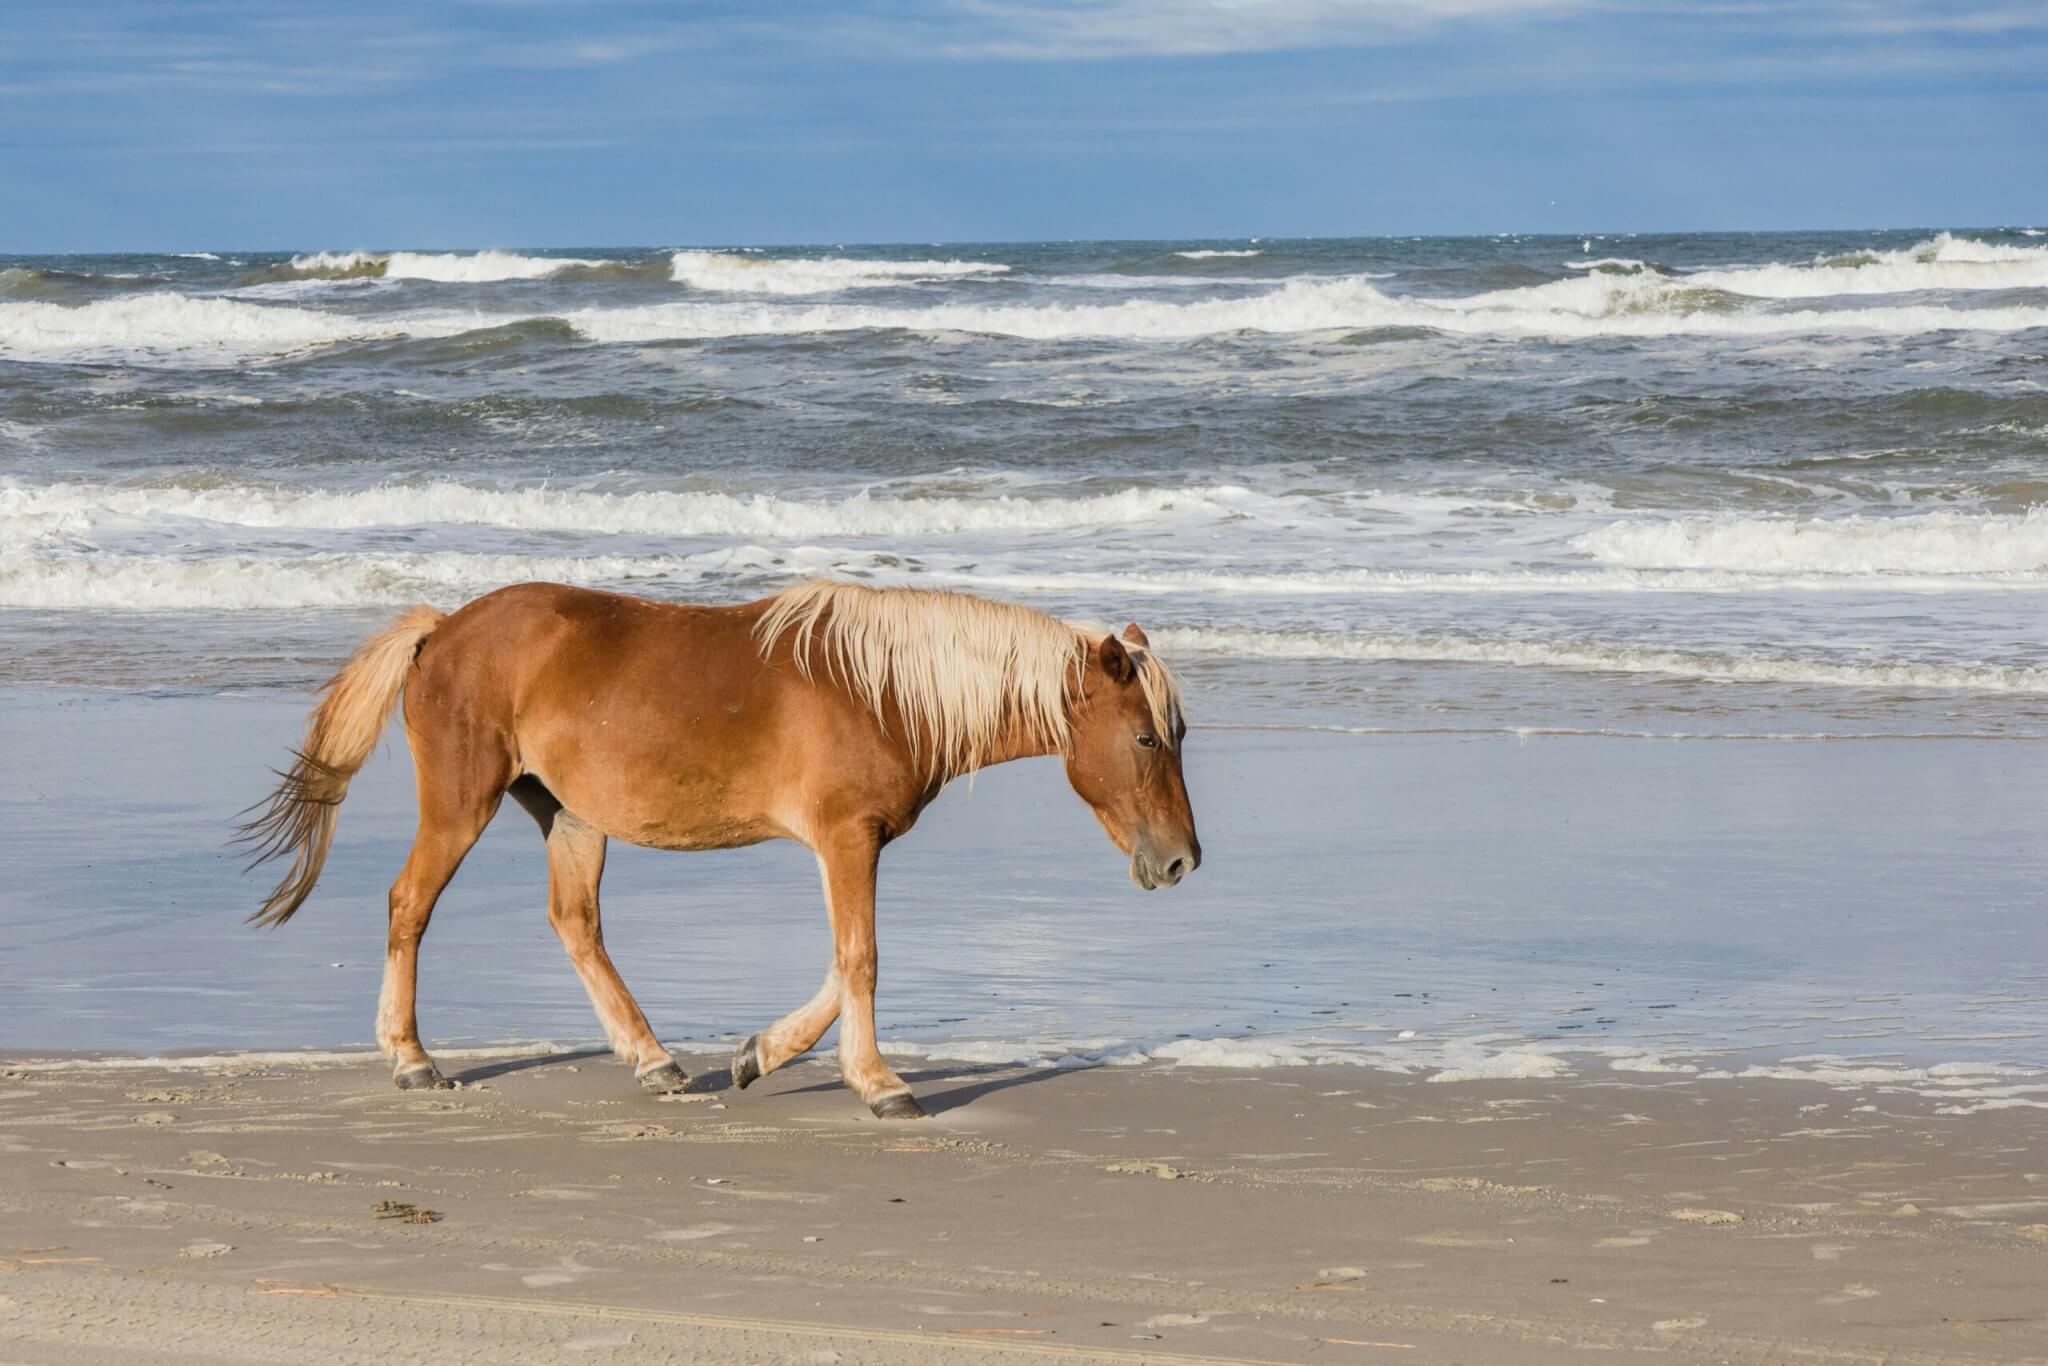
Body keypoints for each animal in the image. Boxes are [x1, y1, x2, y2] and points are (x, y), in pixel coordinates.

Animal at [243, 581, 1196, 1114]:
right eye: (1147, 738)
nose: (1182, 860)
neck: (885, 689)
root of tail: (441, 630)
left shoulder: (849, 843)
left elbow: (840, 964)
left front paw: (756, 1054)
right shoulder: (847, 838)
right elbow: (861, 959)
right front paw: (879, 1085)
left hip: (571, 817)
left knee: (576, 926)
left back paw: (656, 1062)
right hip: (461, 801)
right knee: (410, 904)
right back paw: (411, 1061)